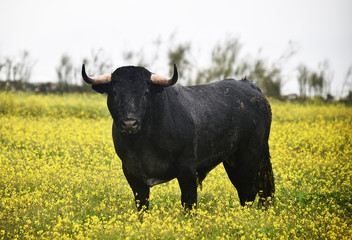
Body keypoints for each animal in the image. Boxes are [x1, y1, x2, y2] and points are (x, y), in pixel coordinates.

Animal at [82, 63, 276, 210]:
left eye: (145, 92)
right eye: (115, 92)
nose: (130, 123)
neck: (142, 143)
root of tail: (251, 87)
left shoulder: (187, 170)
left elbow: (189, 203)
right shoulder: (132, 173)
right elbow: (142, 205)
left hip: (249, 157)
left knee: (250, 190)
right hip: (232, 160)